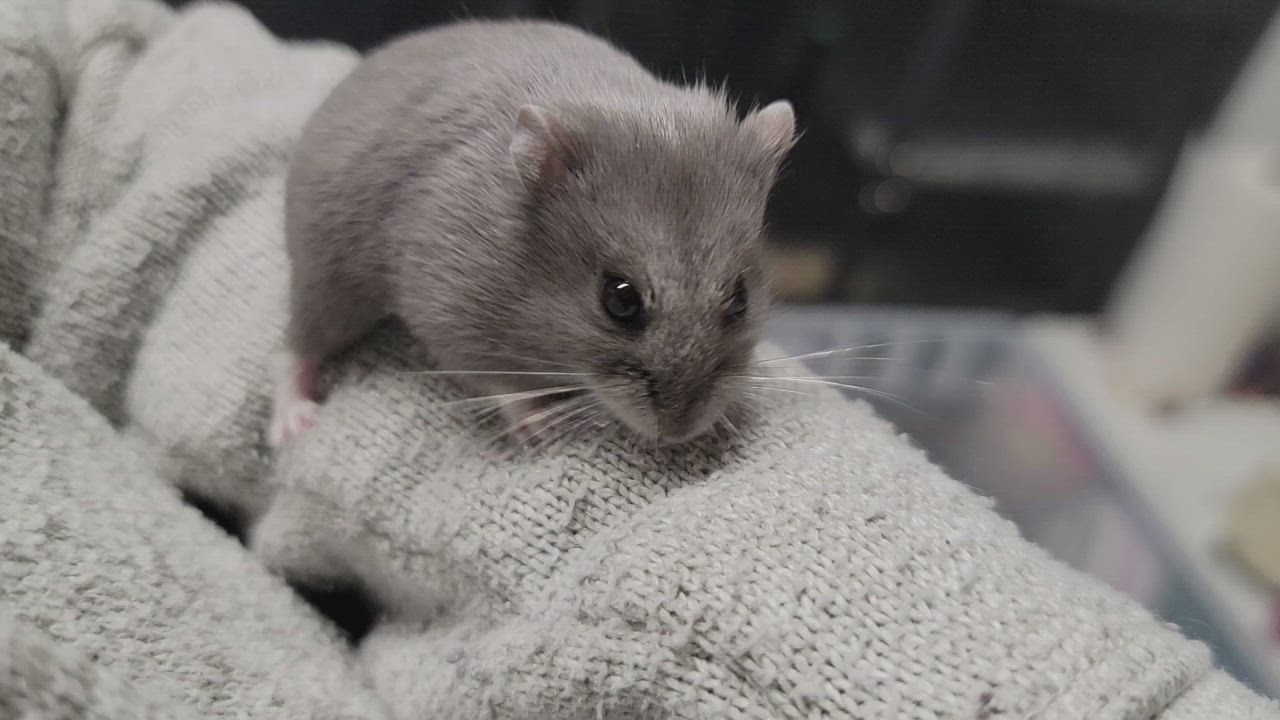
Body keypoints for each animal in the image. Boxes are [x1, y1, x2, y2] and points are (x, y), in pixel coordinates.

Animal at [269, 19, 796, 448]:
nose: (678, 434)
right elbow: (499, 382)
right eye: (620, 299)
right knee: (297, 345)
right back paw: (292, 424)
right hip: (326, 272)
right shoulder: (446, 309)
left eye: (739, 300)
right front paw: (539, 425)